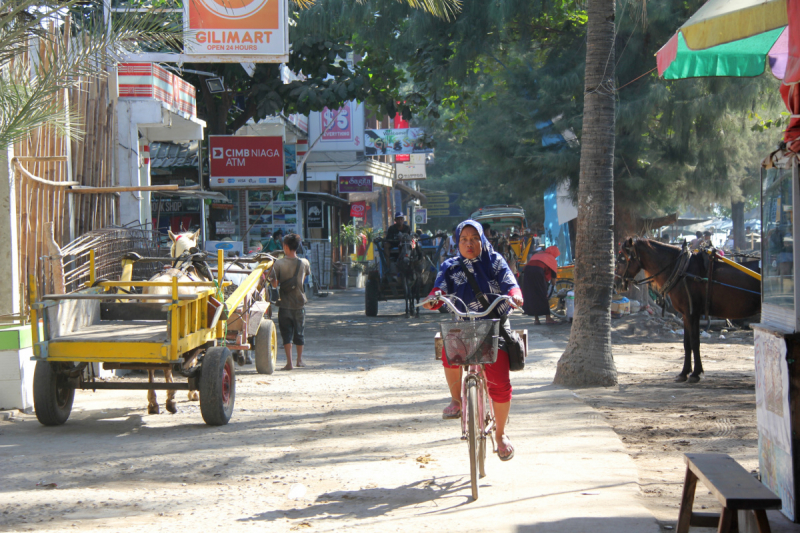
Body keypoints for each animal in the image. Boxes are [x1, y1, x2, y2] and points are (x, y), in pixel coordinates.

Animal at [616, 237, 760, 382]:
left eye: (622, 258)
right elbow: (687, 343)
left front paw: (696, 373)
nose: (616, 283)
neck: (682, 270)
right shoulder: (686, 314)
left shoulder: (693, 313)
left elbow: (695, 342)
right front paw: (684, 372)